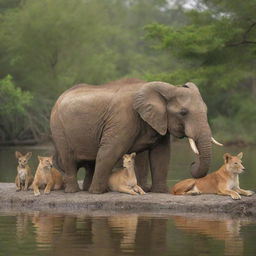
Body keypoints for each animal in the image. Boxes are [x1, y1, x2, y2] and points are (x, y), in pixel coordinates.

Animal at [50, 78, 222, 194]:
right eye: (183, 112)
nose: (192, 164)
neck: (169, 88)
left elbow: (162, 155)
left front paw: (160, 192)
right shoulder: (122, 118)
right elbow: (109, 152)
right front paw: (97, 193)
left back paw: (86, 188)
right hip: (58, 128)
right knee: (68, 158)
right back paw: (75, 191)